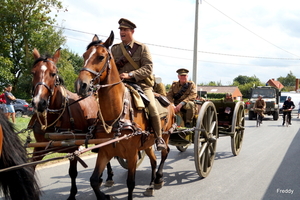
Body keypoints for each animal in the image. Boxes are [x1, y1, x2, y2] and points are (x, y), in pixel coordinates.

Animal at [29, 47, 115, 199]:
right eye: (33, 73)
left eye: (53, 74)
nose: (39, 102)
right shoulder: (38, 148)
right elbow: (31, 169)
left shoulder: (72, 147)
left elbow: (73, 173)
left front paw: (72, 194)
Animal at [74, 30, 176, 199]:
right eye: (84, 55)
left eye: (101, 57)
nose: (81, 85)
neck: (117, 114)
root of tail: (170, 102)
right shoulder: (105, 151)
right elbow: (94, 181)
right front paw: (105, 195)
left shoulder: (132, 153)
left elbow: (130, 183)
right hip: (148, 143)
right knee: (154, 161)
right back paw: (150, 185)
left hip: (165, 136)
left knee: (164, 153)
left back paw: (159, 179)